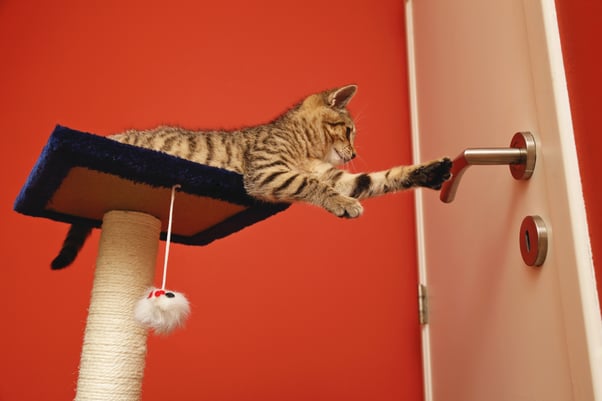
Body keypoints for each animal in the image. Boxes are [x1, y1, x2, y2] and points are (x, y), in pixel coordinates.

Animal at [50, 83, 450, 268]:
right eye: (349, 131)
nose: (353, 153)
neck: (305, 146)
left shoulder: (337, 175)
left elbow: (379, 178)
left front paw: (429, 170)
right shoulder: (268, 170)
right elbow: (310, 184)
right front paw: (341, 204)